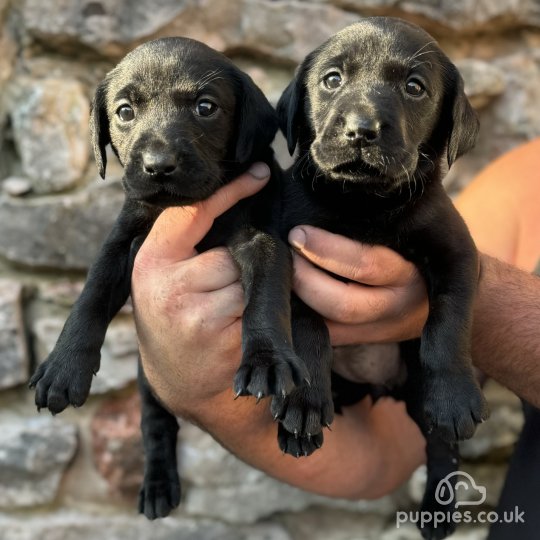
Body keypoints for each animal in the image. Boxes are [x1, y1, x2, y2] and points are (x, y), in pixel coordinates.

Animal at [29, 37, 308, 520]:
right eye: (125, 111)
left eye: (205, 107)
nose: (158, 166)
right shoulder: (124, 240)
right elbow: (90, 295)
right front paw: (64, 365)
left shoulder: (262, 239)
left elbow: (266, 299)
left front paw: (267, 360)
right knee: (155, 425)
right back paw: (158, 484)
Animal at [276, 17, 492, 540]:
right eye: (332, 79)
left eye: (414, 88)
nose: (361, 130)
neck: (364, 203)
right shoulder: (286, 250)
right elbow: (305, 324)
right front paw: (304, 402)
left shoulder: (458, 254)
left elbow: (448, 325)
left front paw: (454, 396)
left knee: (440, 449)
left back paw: (438, 512)